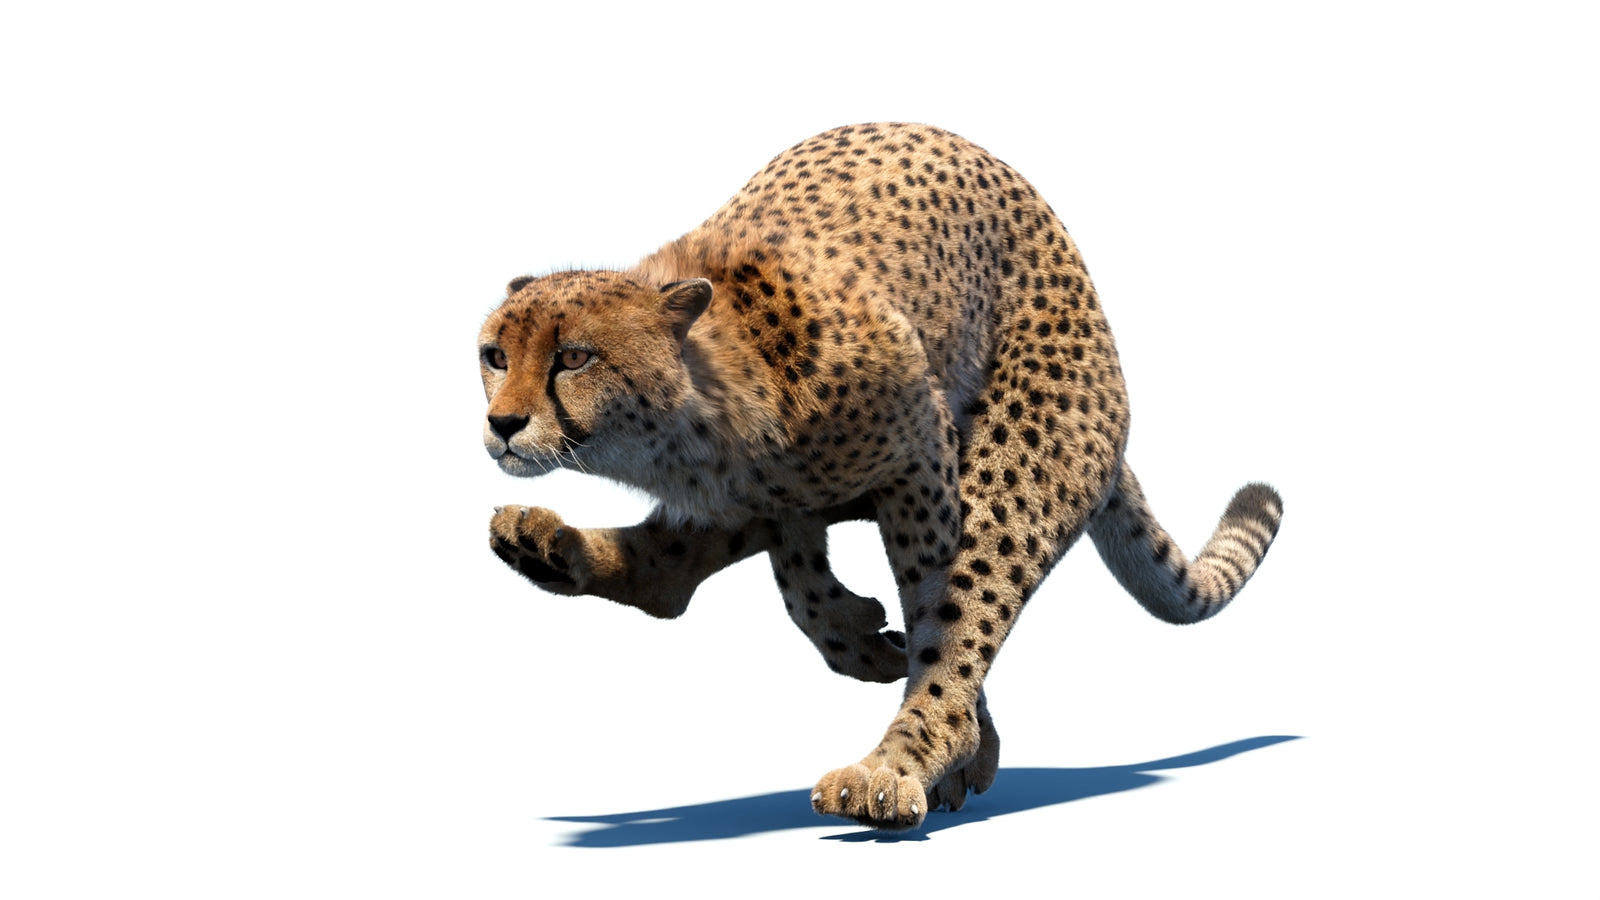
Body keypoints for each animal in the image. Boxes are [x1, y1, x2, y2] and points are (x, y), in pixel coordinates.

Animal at [479, 123, 1283, 830]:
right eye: (494, 355)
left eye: (574, 358)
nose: (503, 423)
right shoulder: (772, 493)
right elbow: (801, 581)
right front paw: (861, 638)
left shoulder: (919, 446)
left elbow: (941, 607)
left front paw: (944, 741)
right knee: (671, 576)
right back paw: (544, 546)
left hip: (1025, 456)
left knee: (969, 586)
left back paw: (898, 762)